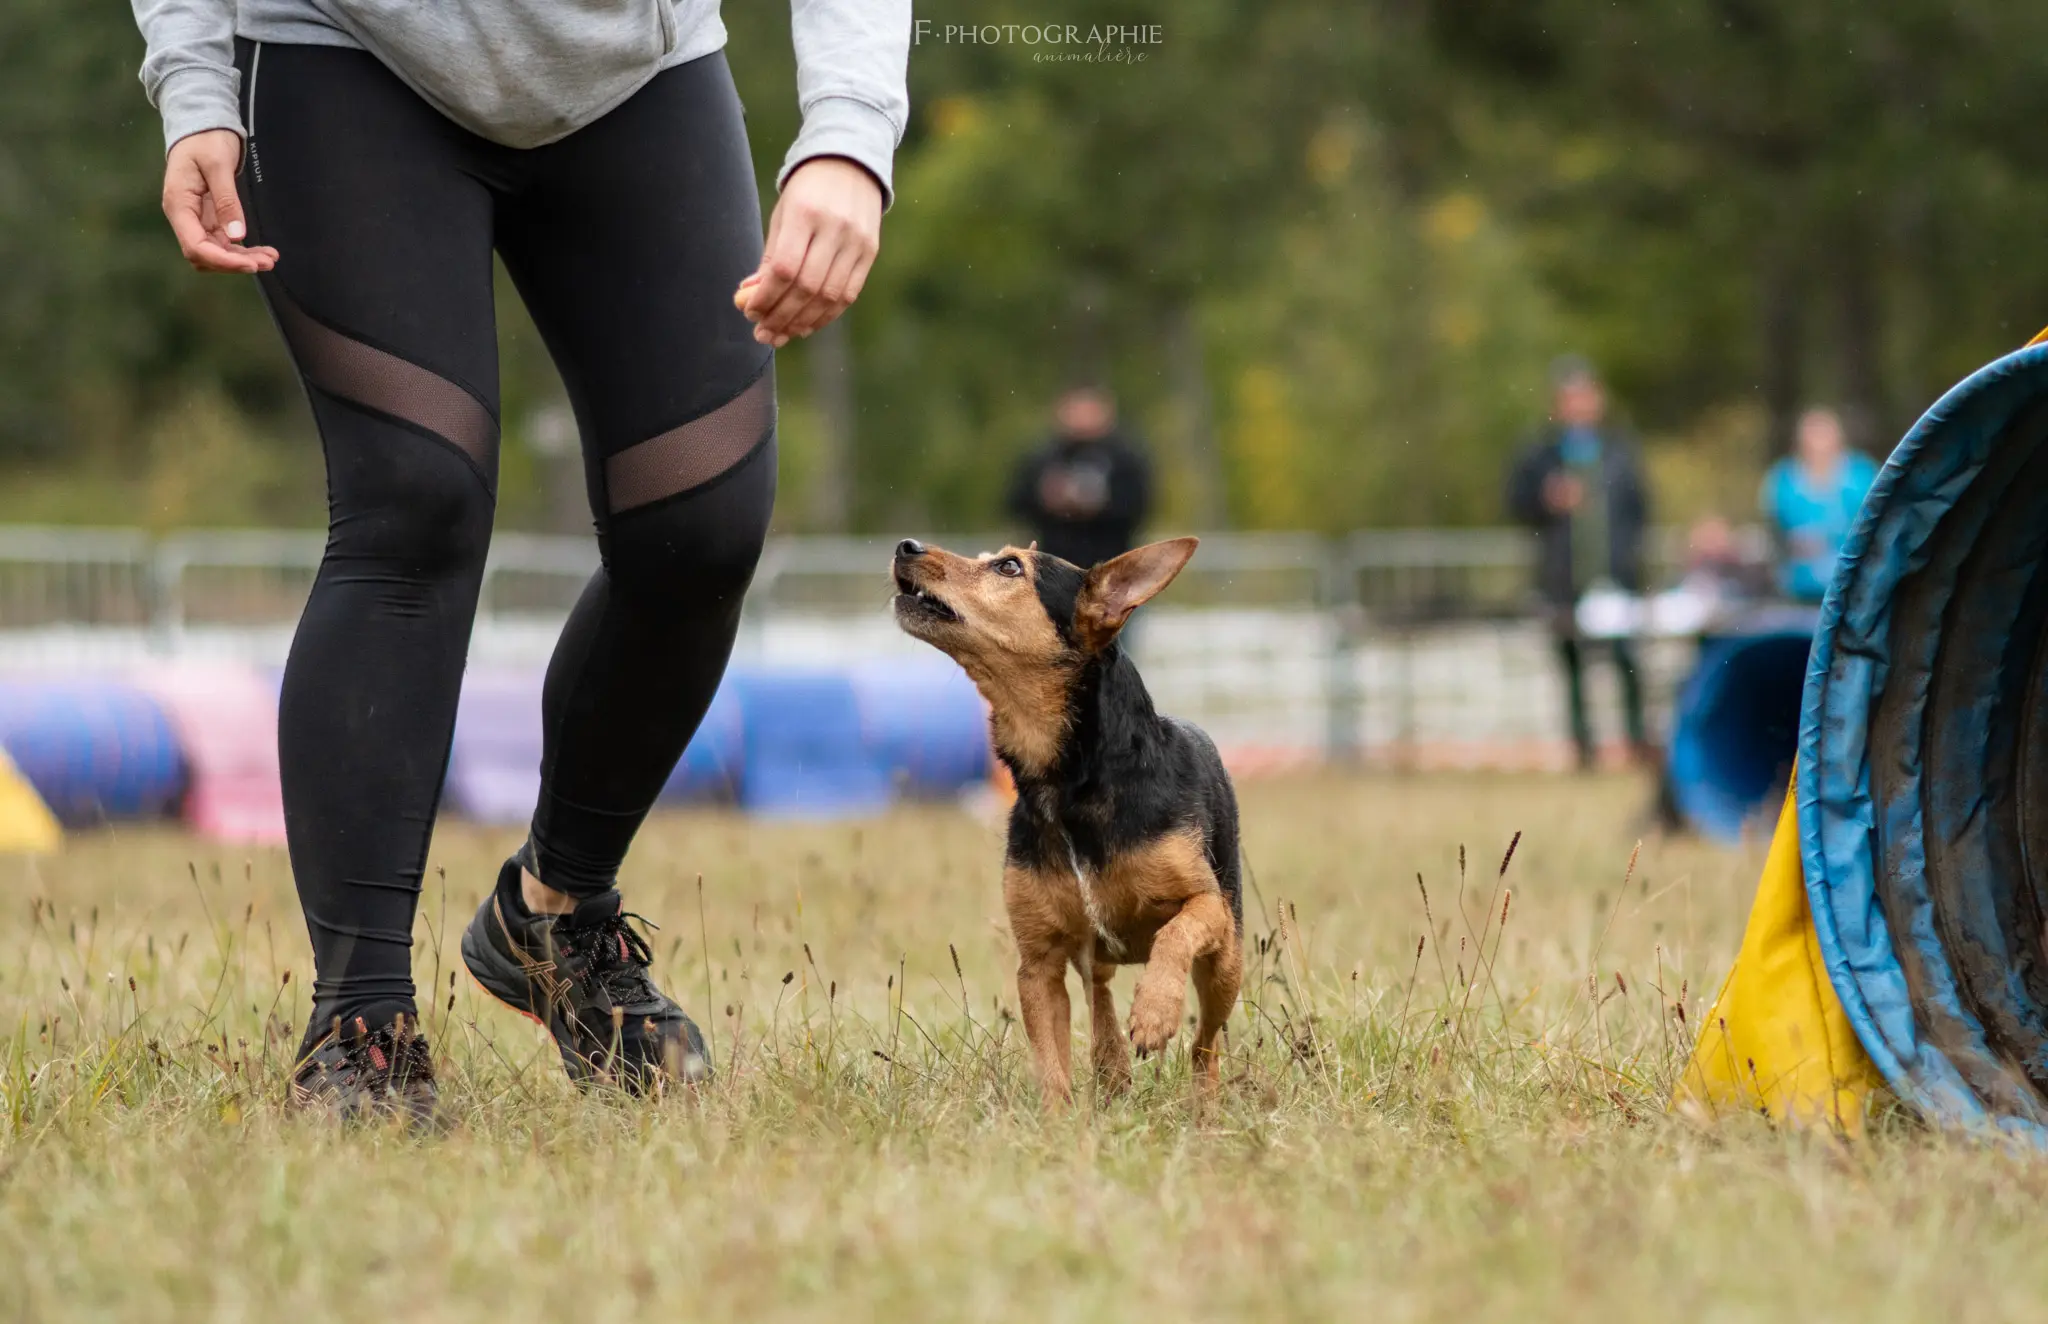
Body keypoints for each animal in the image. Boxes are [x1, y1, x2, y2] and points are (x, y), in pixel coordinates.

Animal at [888, 532, 1236, 1106]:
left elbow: (1177, 931)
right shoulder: (1039, 963)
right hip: (1093, 951)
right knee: (1099, 990)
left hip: (1228, 959)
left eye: (1009, 568)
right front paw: (1058, 1119)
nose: (906, 545)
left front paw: (1155, 1012)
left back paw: (1202, 1101)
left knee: (1205, 1042)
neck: (1069, 782)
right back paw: (1113, 1065)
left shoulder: (1208, 904)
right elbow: (1051, 1063)